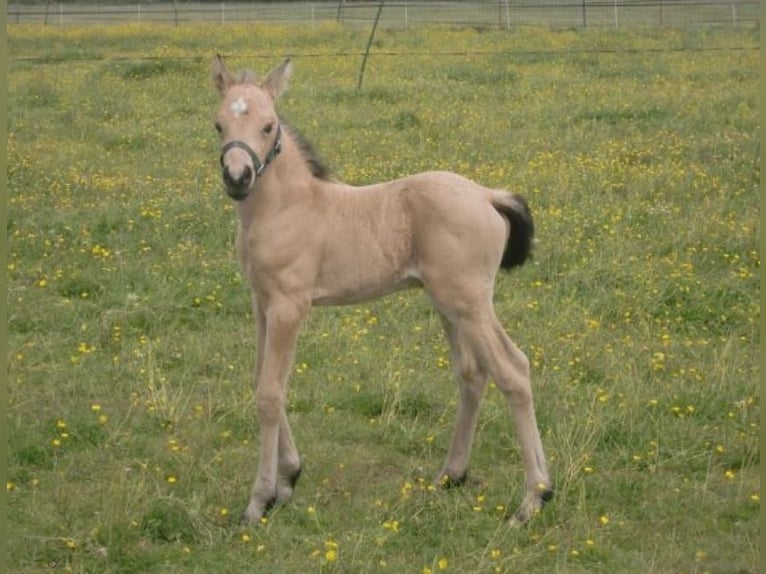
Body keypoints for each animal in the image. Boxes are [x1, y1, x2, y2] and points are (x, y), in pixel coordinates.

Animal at [213, 56, 556, 528]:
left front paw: (260, 499)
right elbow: (261, 379)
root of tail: (488, 196)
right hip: (450, 305)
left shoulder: (289, 305)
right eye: (218, 125)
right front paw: (289, 477)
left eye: (268, 126)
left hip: (469, 302)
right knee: (473, 374)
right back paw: (452, 475)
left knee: (513, 370)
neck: (289, 208)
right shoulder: (261, 303)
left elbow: (269, 393)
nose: (237, 177)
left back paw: (533, 499)